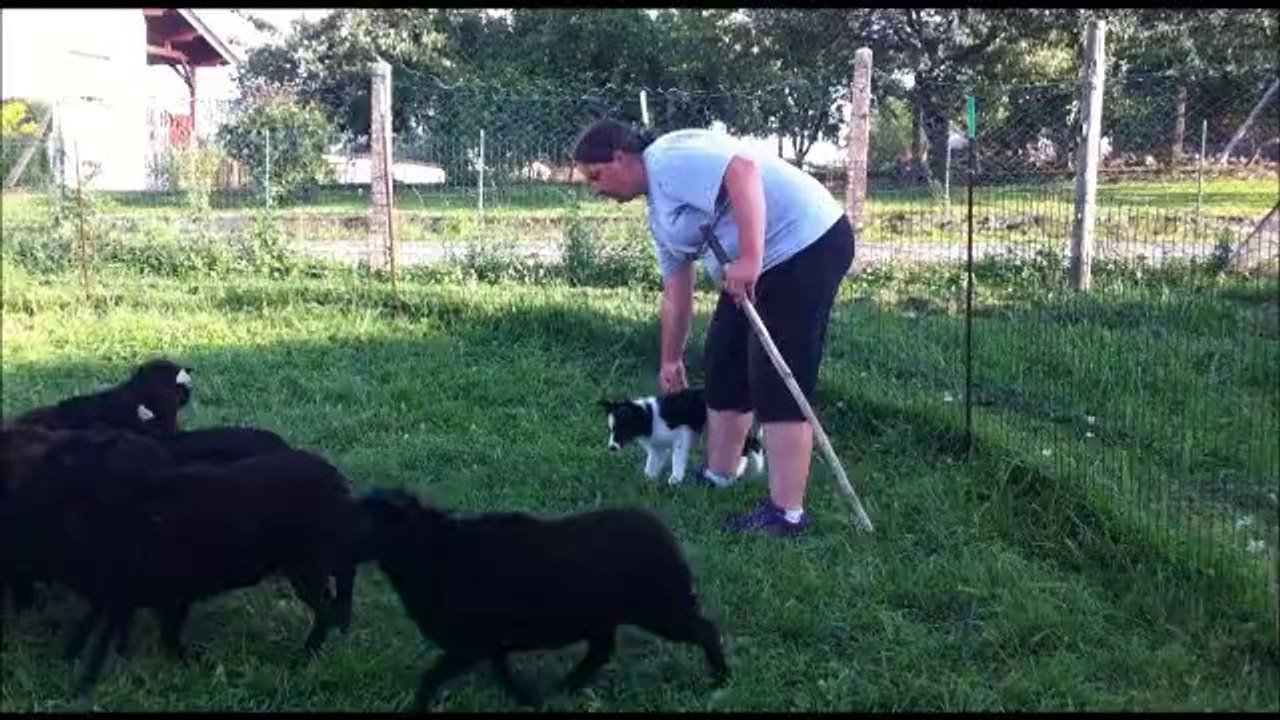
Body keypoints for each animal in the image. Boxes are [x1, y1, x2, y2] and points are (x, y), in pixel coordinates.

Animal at [355, 487, 730, 711]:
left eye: (363, 518)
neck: (435, 553)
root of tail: (665, 535)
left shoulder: (470, 644)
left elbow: (432, 676)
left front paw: (417, 706)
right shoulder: (490, 643)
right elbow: (502, 672)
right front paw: (528, 699)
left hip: (660, 610)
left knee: (706, 630)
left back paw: (721, 679)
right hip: (605, 616)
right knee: (600, 652)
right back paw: (564, 687)